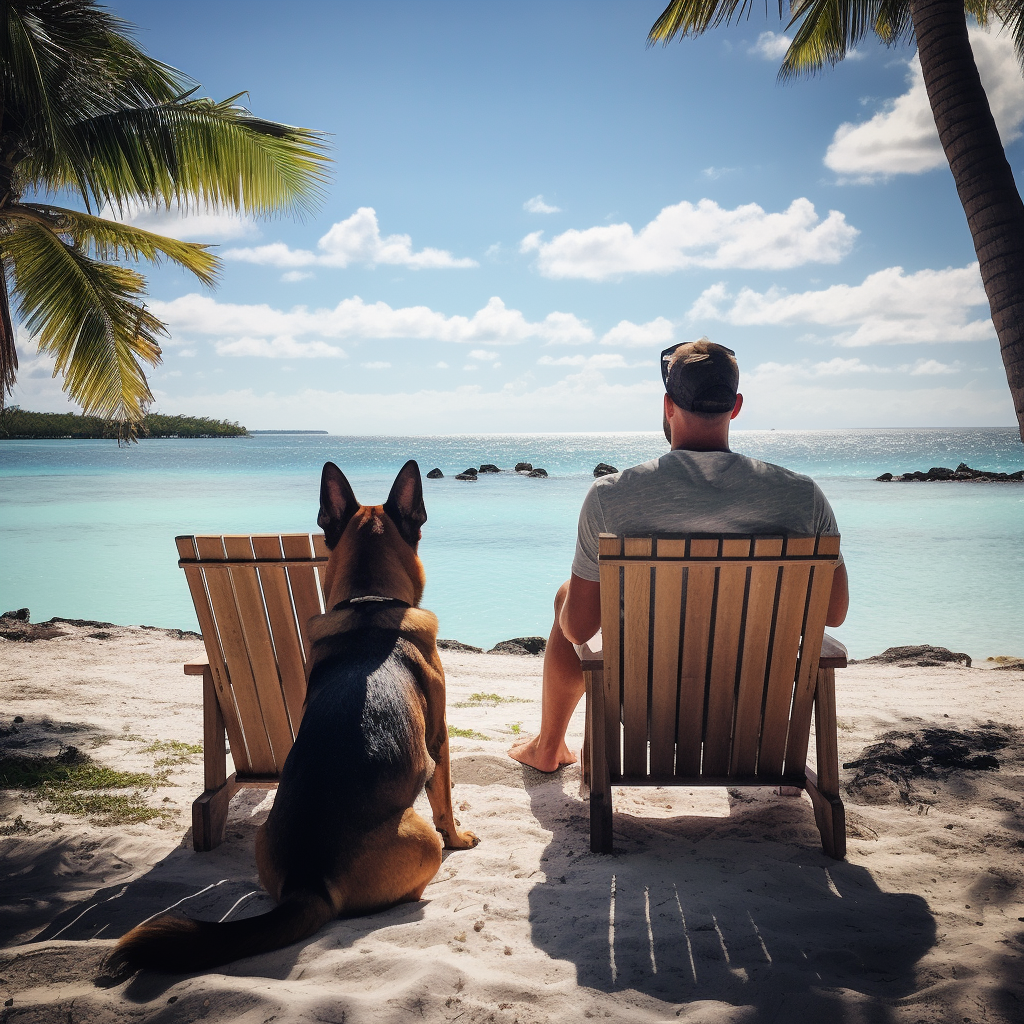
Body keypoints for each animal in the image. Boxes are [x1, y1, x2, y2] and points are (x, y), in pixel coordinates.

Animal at [110, 460, 477, 970]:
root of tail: (309, 880)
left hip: (264, 838)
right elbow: (445, 801)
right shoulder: (439, 740)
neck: (369, 606)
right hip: (420, 836)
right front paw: (460, 837)